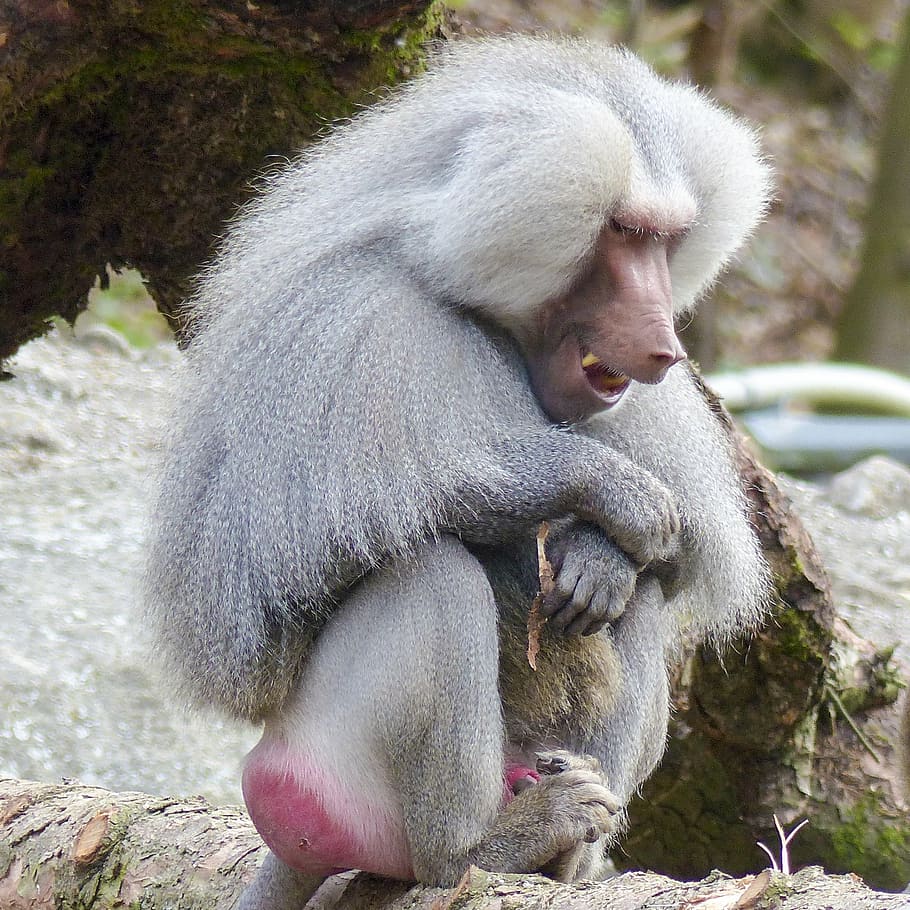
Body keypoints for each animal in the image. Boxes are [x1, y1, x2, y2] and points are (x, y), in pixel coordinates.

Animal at [143, 35, 772, 908]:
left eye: (666, 240)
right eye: (622, 231)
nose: (663, 349)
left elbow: (671, 559)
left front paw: (602, 554)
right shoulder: (361, 327)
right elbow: (403, 505)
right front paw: (620, 494)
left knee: (638, 600)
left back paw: (567, 847)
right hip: (322, 765)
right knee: (431, 574)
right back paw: (487, 843)